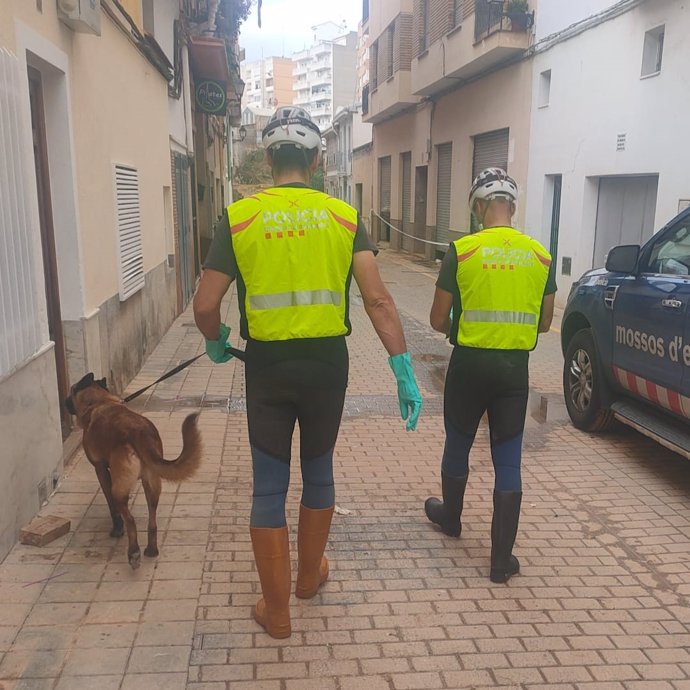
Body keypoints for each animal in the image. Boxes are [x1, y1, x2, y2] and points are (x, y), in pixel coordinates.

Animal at [65, 374, 202, 568]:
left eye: (71, 391)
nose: (64, 403)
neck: (98, 402)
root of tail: (140, 433)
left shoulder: (101, 470)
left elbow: (112, 507)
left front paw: (116, 529)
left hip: (119, 489)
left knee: (130, 520)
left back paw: (133, 553)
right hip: (151, 484)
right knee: (152, 521)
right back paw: (151, 550)